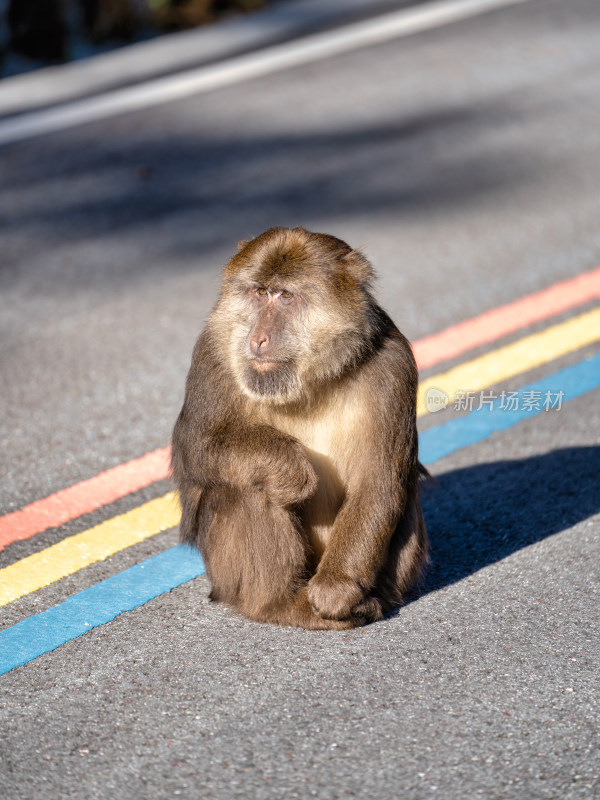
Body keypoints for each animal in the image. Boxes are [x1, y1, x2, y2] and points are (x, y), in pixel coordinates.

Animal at [171, 227, 428, 632]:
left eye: (286, 296)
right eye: (260, 292)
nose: (257, 338)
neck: (311, 381)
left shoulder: (394, 365)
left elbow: (379, 481)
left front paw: (337, 589)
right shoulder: (212, 349)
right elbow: (193, 449)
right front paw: (288, 467)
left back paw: (366, 602)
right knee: (249, 486)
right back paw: (282, 603)